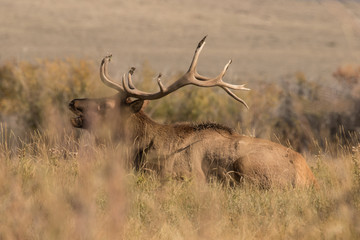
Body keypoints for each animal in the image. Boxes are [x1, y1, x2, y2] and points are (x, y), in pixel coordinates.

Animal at [69, 36, 316, 188]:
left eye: (105, 106)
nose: (73, 102)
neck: (141, 147)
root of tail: (308, 178)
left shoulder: (185, 175)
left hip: (246, 164)